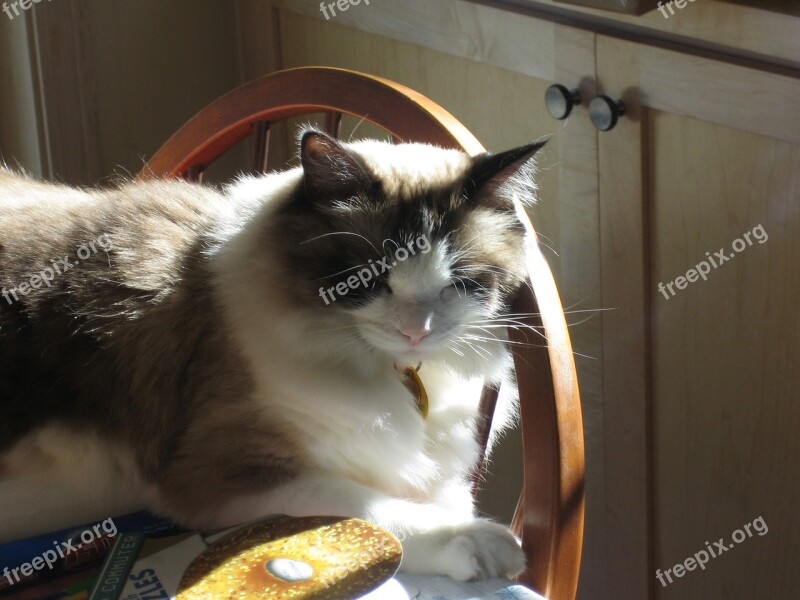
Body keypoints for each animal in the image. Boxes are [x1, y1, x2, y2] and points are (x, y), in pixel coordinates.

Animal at [0, 130, 544, 580]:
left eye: (459, 283)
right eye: (369, 279)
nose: (416, 332)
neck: (396, 372)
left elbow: (447, 498)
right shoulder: (225, 477)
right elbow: (376, 509)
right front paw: (484, 545)